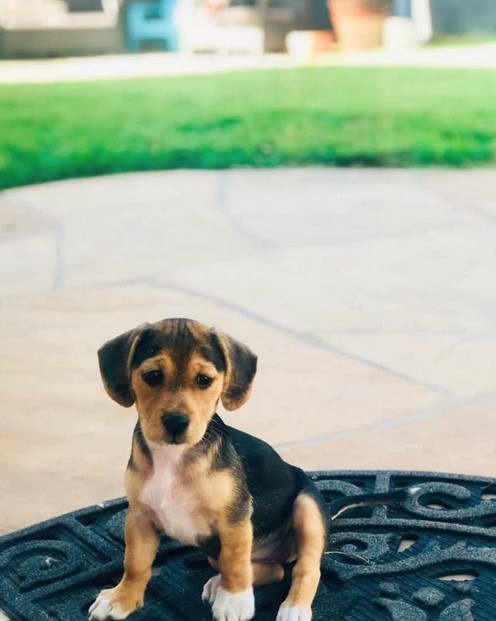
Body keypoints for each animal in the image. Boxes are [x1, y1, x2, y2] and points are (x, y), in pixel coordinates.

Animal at [88, 320, 414, 620]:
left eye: (204, 380)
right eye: (152, 376)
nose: (176, 422)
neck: (174, 457)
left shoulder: (235, 518)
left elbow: (235, 563)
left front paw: (234, 601)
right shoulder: (140, 517)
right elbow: (135, 563)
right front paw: (122, 598)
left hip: (307, 509)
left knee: (305, 569)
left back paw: (292, 607)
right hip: (218, 551)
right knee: (272, 571)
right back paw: (219, 584)